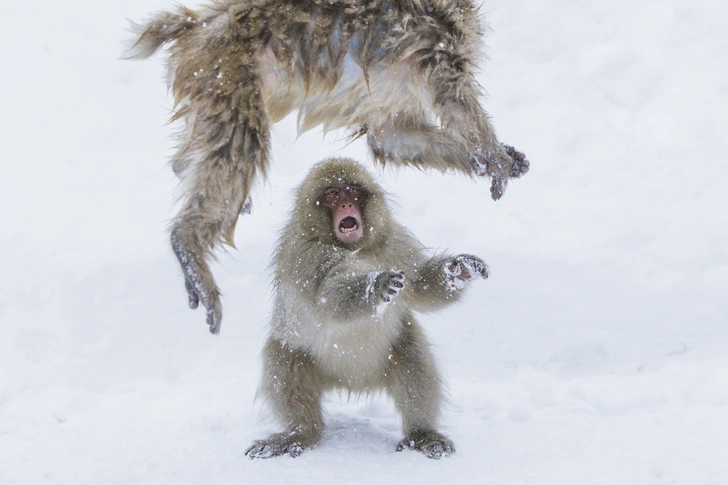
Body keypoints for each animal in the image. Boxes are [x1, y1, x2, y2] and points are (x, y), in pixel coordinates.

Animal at [122, 0, 528, 332]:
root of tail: (200, 25)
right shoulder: (432, 35)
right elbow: (451, 96)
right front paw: (494, 156)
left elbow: (390, 137)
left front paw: (503, 159)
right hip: (227, 75)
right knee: (239, 146)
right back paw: (188, 242)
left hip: (210, 85)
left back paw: (183, 178)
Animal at [247, 158, 492, 458]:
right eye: (332, 193)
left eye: (352, 190)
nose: (345, 206)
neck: (356, 250)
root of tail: (352, 383)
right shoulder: (307, 254)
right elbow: (329, 297)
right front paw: (375, 287)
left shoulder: (394, 241)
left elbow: (420, 286)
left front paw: (459, 270)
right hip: (304, 355)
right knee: (283, 360)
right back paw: (299, 433)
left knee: (414, 357)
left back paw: (421, 434)